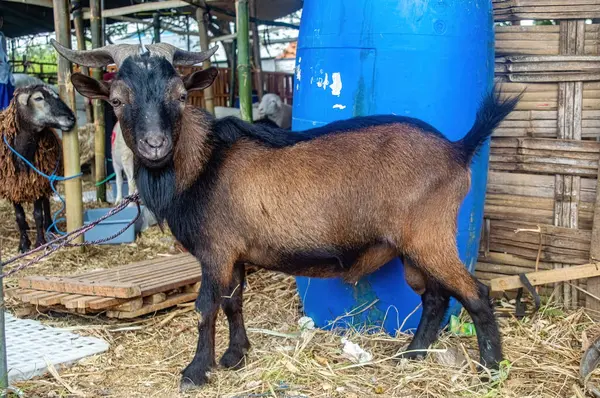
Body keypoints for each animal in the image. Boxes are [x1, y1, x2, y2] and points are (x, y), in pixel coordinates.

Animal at [0, 84, 76, 252]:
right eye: (38, 98)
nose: (72, 119)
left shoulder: (37, 183)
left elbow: (37, 214)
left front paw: (40, 242)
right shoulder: (12, 186)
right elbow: (20, 217)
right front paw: (23, 244)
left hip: (46, 181)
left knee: (45, 205)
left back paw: (49, 225)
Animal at [52, 41, 520, 392]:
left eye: (181, 97)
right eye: (117, 100)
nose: (154, 145)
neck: (203, 163)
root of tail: (459, 149)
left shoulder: (215, 251)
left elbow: (206, 307)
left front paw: (196, 372)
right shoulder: (235, 252)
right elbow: (233, 301)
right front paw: (235, 356)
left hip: (430, 235)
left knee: (475, 292)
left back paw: (491, 371)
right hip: (411, 246)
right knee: (435, 297)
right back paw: (411, 356)